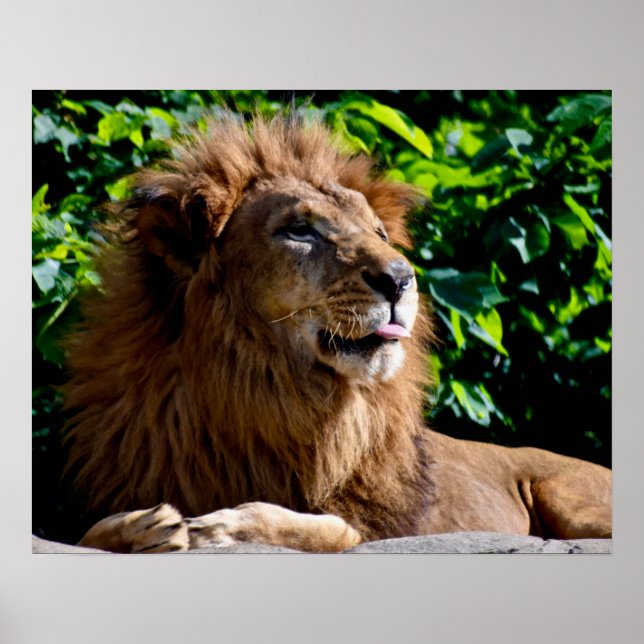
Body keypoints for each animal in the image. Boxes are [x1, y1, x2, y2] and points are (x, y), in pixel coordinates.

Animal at [62, 115, 611, 553]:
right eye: (300, 230)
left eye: (380, 234)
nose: (401, 278)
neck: (263, 389)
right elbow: (89, 532)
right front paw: (143, 526)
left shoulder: (364, 527)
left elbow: (302, 524)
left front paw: (215, 527)